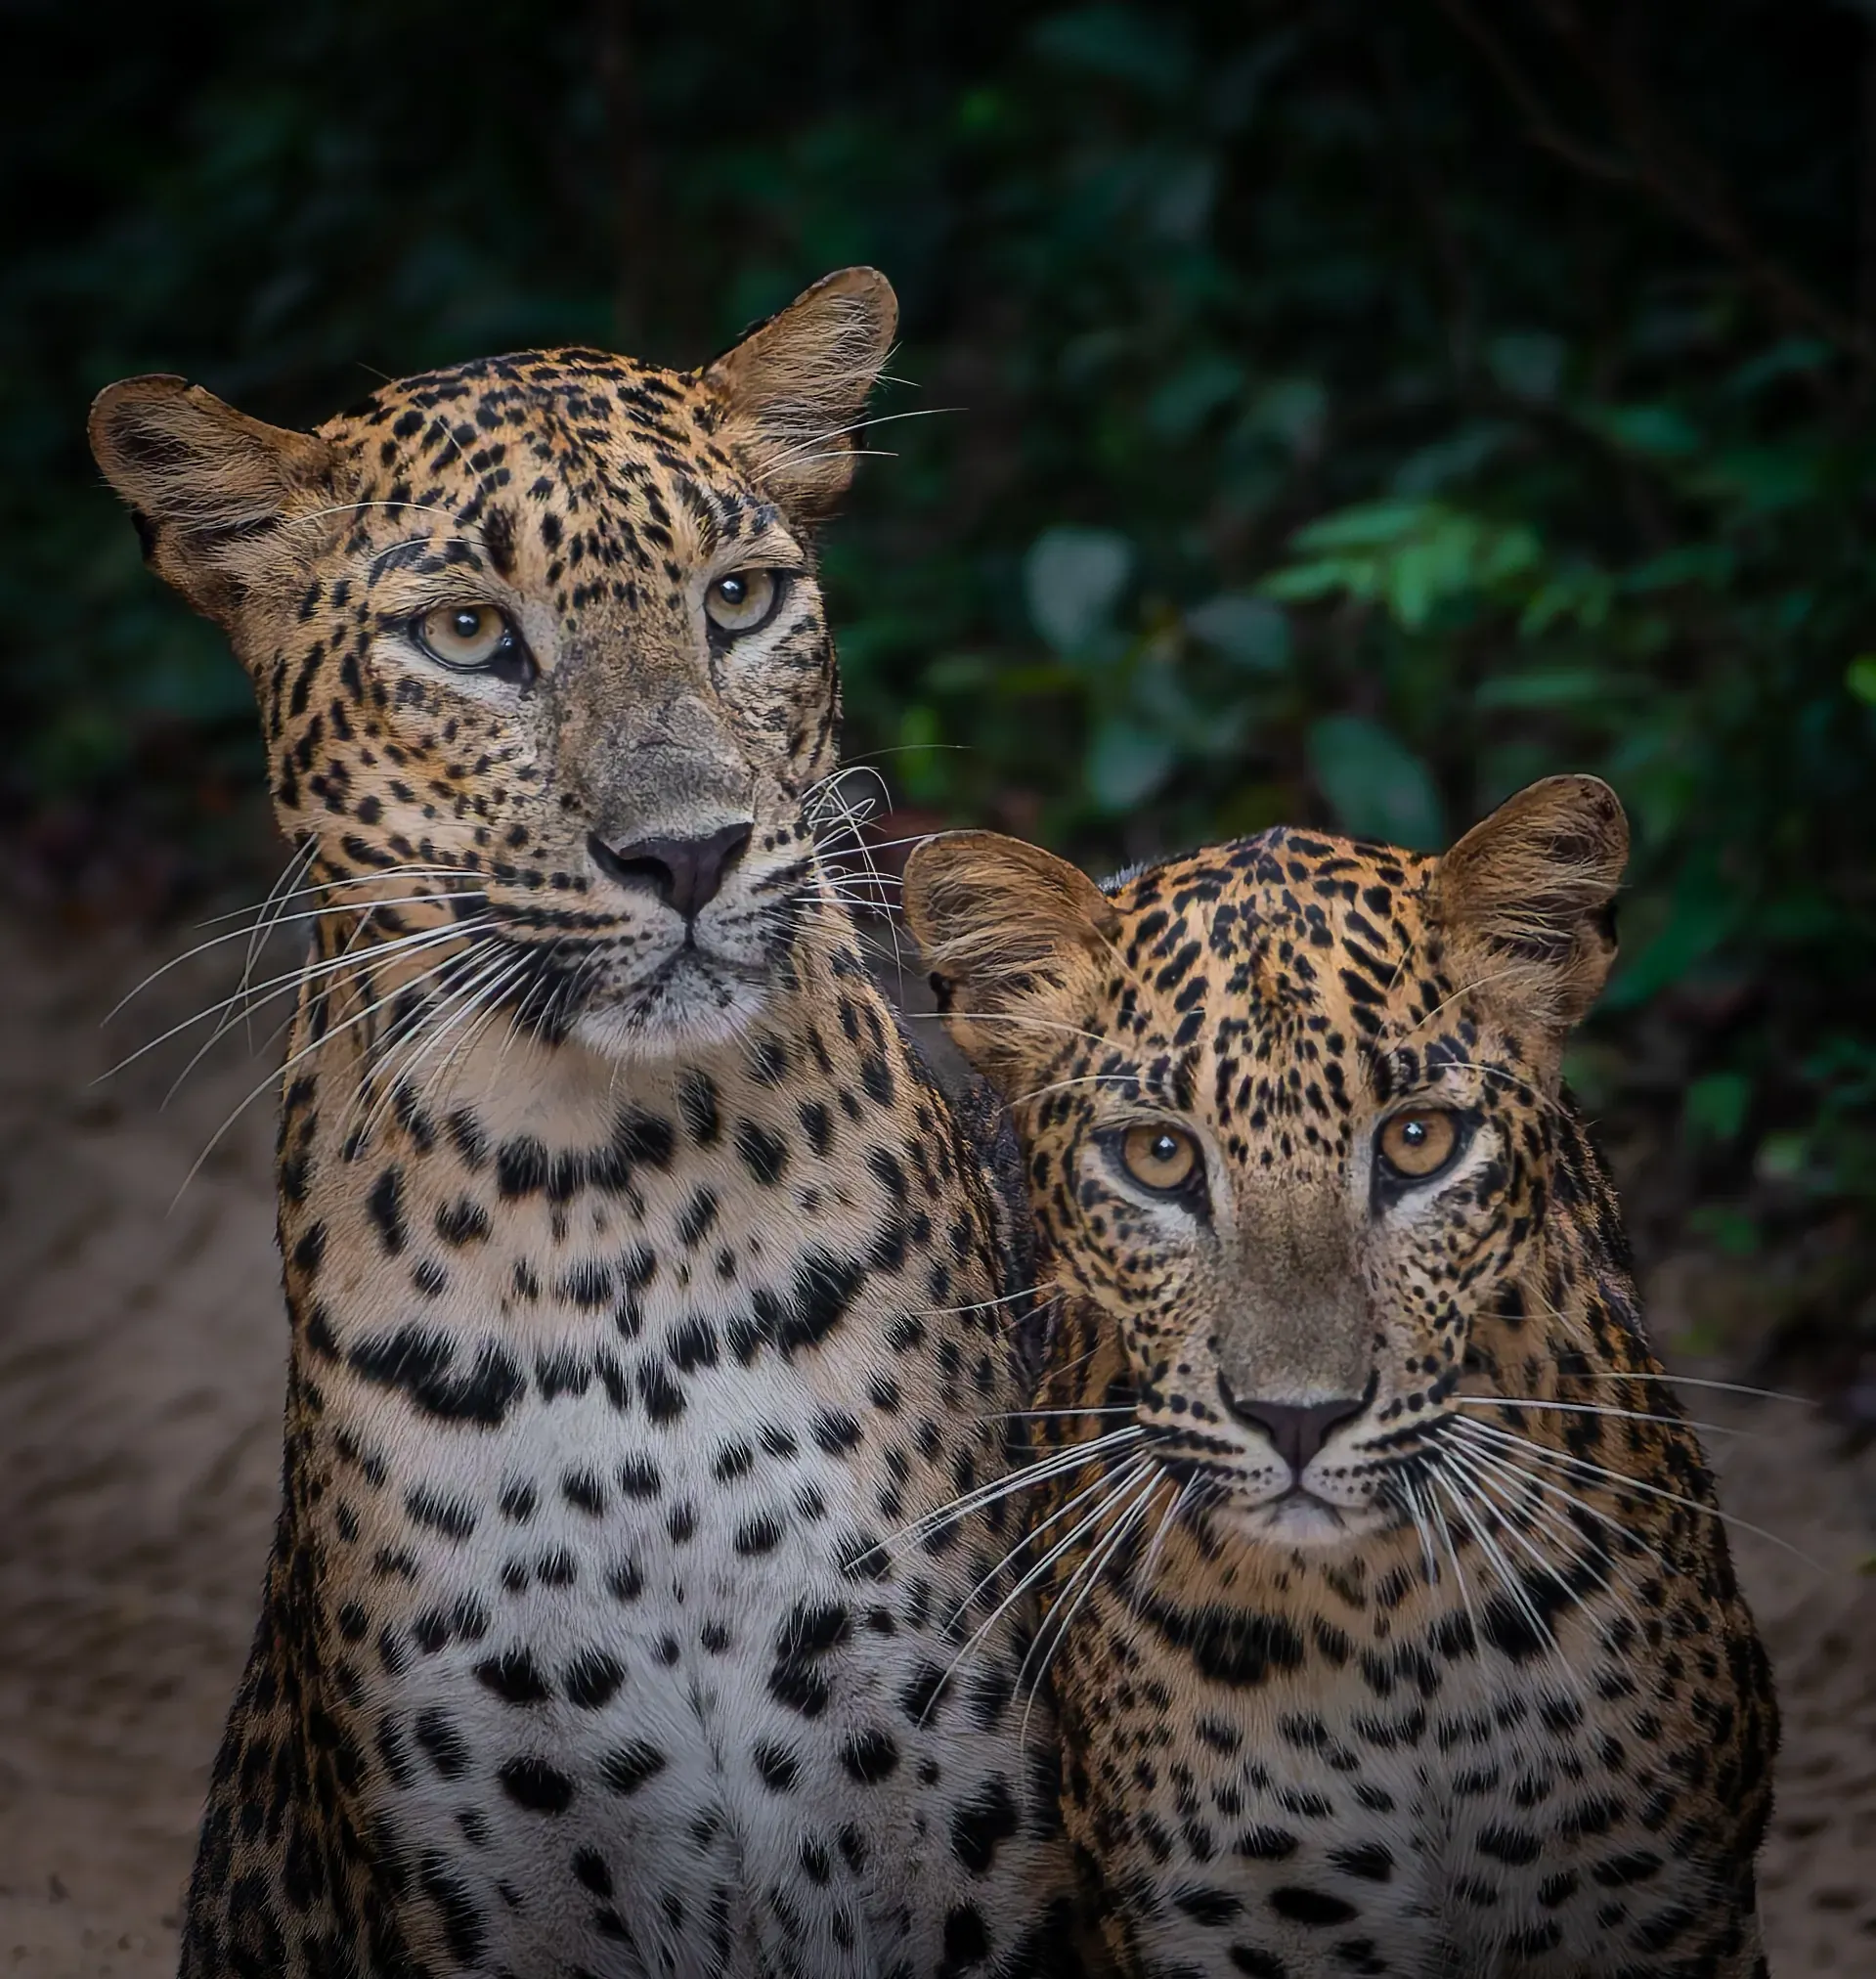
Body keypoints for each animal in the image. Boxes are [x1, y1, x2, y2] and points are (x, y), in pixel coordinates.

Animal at [88, 268, 1088, 1979]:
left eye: (738, 601)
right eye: (468, 635)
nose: (685, 853)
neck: (608, 1204)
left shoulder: (949, 1813)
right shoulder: (504, 1849)